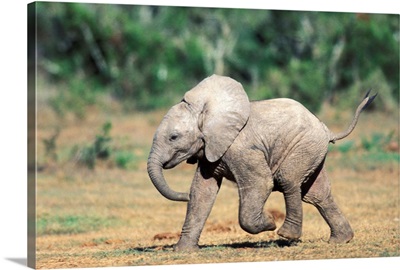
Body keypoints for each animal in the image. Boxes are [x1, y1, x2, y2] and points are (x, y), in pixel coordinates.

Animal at [147, 74, 376, 251]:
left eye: (173, 137)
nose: (182, 195)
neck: (208, 111)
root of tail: (326, 129)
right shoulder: (211, 148)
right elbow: (202, 191)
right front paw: (183, 250)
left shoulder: (240, 148)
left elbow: (261, 183)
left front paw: (269, 222)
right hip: (313, 151)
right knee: (317, 195)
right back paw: (340, 240)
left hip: (303, 146)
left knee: (289, 180)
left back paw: (286, 235)